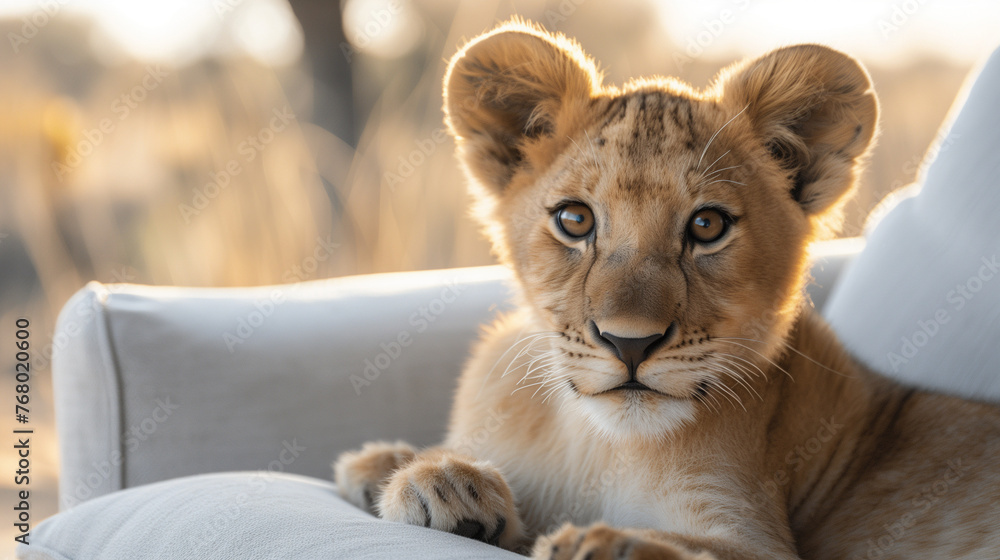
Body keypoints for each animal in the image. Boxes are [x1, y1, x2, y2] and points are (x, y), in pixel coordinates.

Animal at [334, 19, 1000, 560]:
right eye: (575, 219)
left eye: (707, 226)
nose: (629, 344)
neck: (595, 443)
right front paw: (413, 471)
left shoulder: (756, 537)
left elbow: (690, 546)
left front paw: (593, 538)